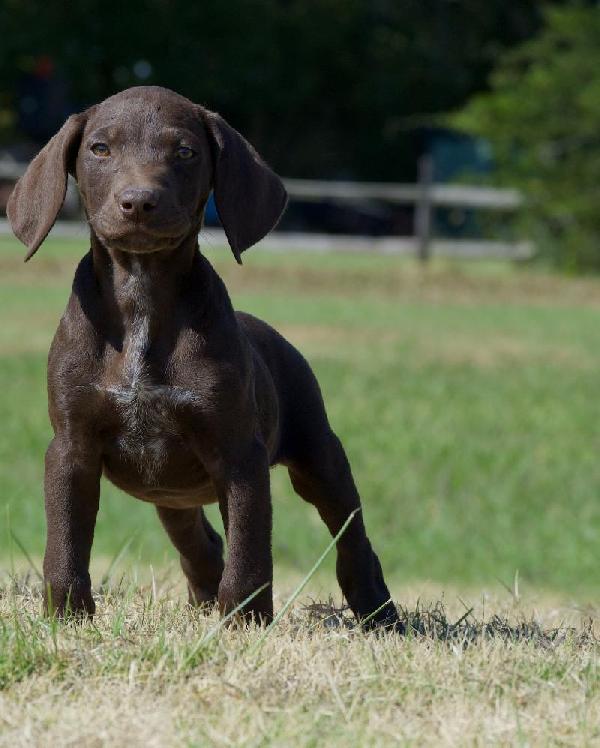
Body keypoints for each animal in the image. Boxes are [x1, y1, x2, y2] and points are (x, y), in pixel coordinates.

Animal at [7, 84, 400, 628]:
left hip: (319, 455)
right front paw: (66, 615)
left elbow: (251, 549)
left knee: (350, 536)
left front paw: (243, 622)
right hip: (171, 494)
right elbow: (65, 541)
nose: (138, 202)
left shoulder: (239, 455)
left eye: (185, 152)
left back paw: (378, 611)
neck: (142, 296)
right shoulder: (71, 447)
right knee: (202, 542)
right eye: (100, 149)